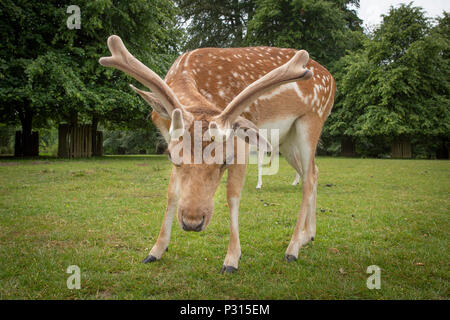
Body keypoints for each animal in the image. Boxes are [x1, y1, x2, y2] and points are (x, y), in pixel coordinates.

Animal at [101, 36, 334, 274]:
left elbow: (233, 196)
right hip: (287, 140)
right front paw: (155, 251)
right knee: (313, 171)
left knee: (308, 178)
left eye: (225, 161)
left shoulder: (239, 143)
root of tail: (331, 78)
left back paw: (292, 248)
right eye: (171, 157)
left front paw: (231, 259)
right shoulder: (169, 138)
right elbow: (172, 193)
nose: (192, 222)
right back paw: (308, 235)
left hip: (312, 119)